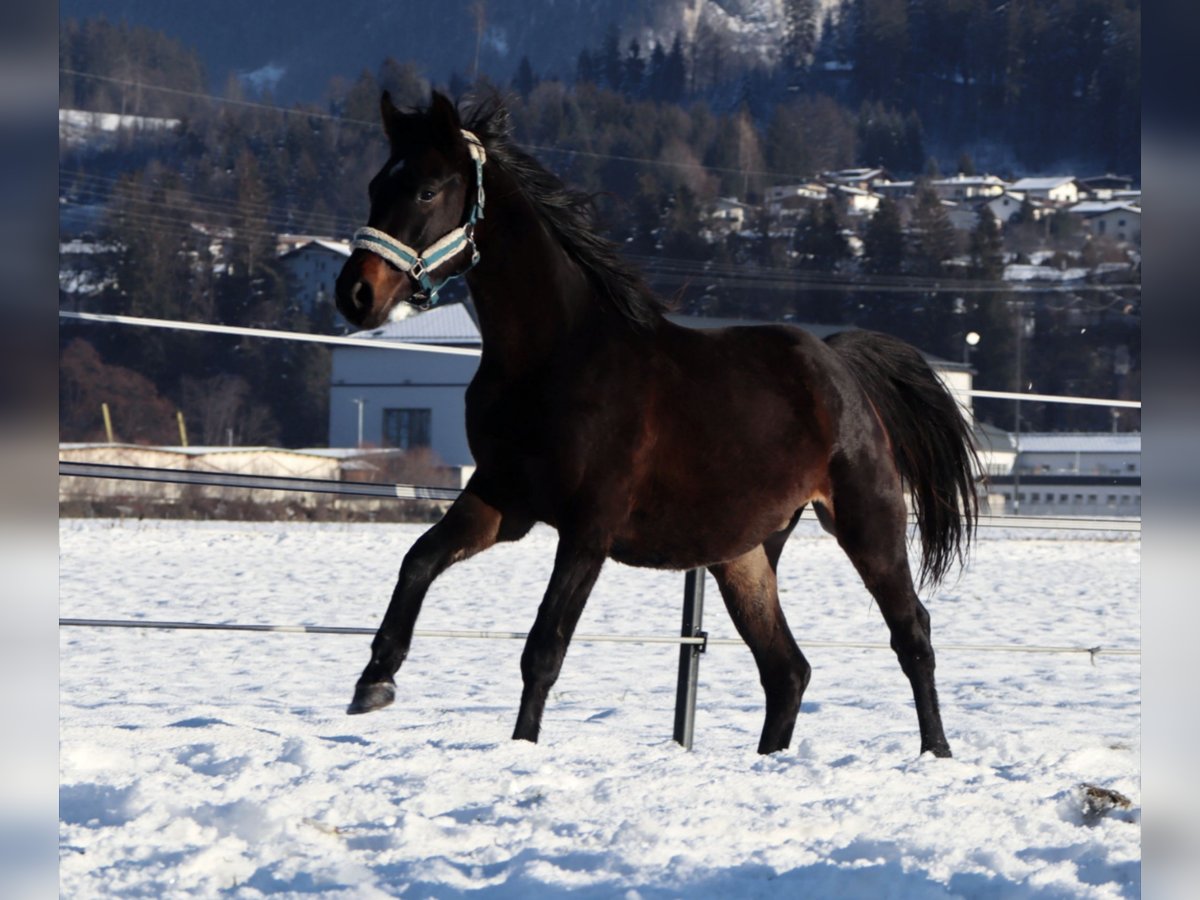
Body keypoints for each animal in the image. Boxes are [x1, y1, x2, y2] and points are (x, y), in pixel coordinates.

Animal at [333, 91, 979, 758]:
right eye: (377, 184)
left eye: (428, 190)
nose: (355, 294)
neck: (554, 356)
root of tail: (840, 365)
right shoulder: (501, 499)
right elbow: (418, 560)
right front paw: (374, 682)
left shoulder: (588, 527)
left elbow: (545, 648)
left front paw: (522, 745)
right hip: (744, 555)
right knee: (788, 670)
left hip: (867, 519)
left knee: (912, 634)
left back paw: (936, 752)